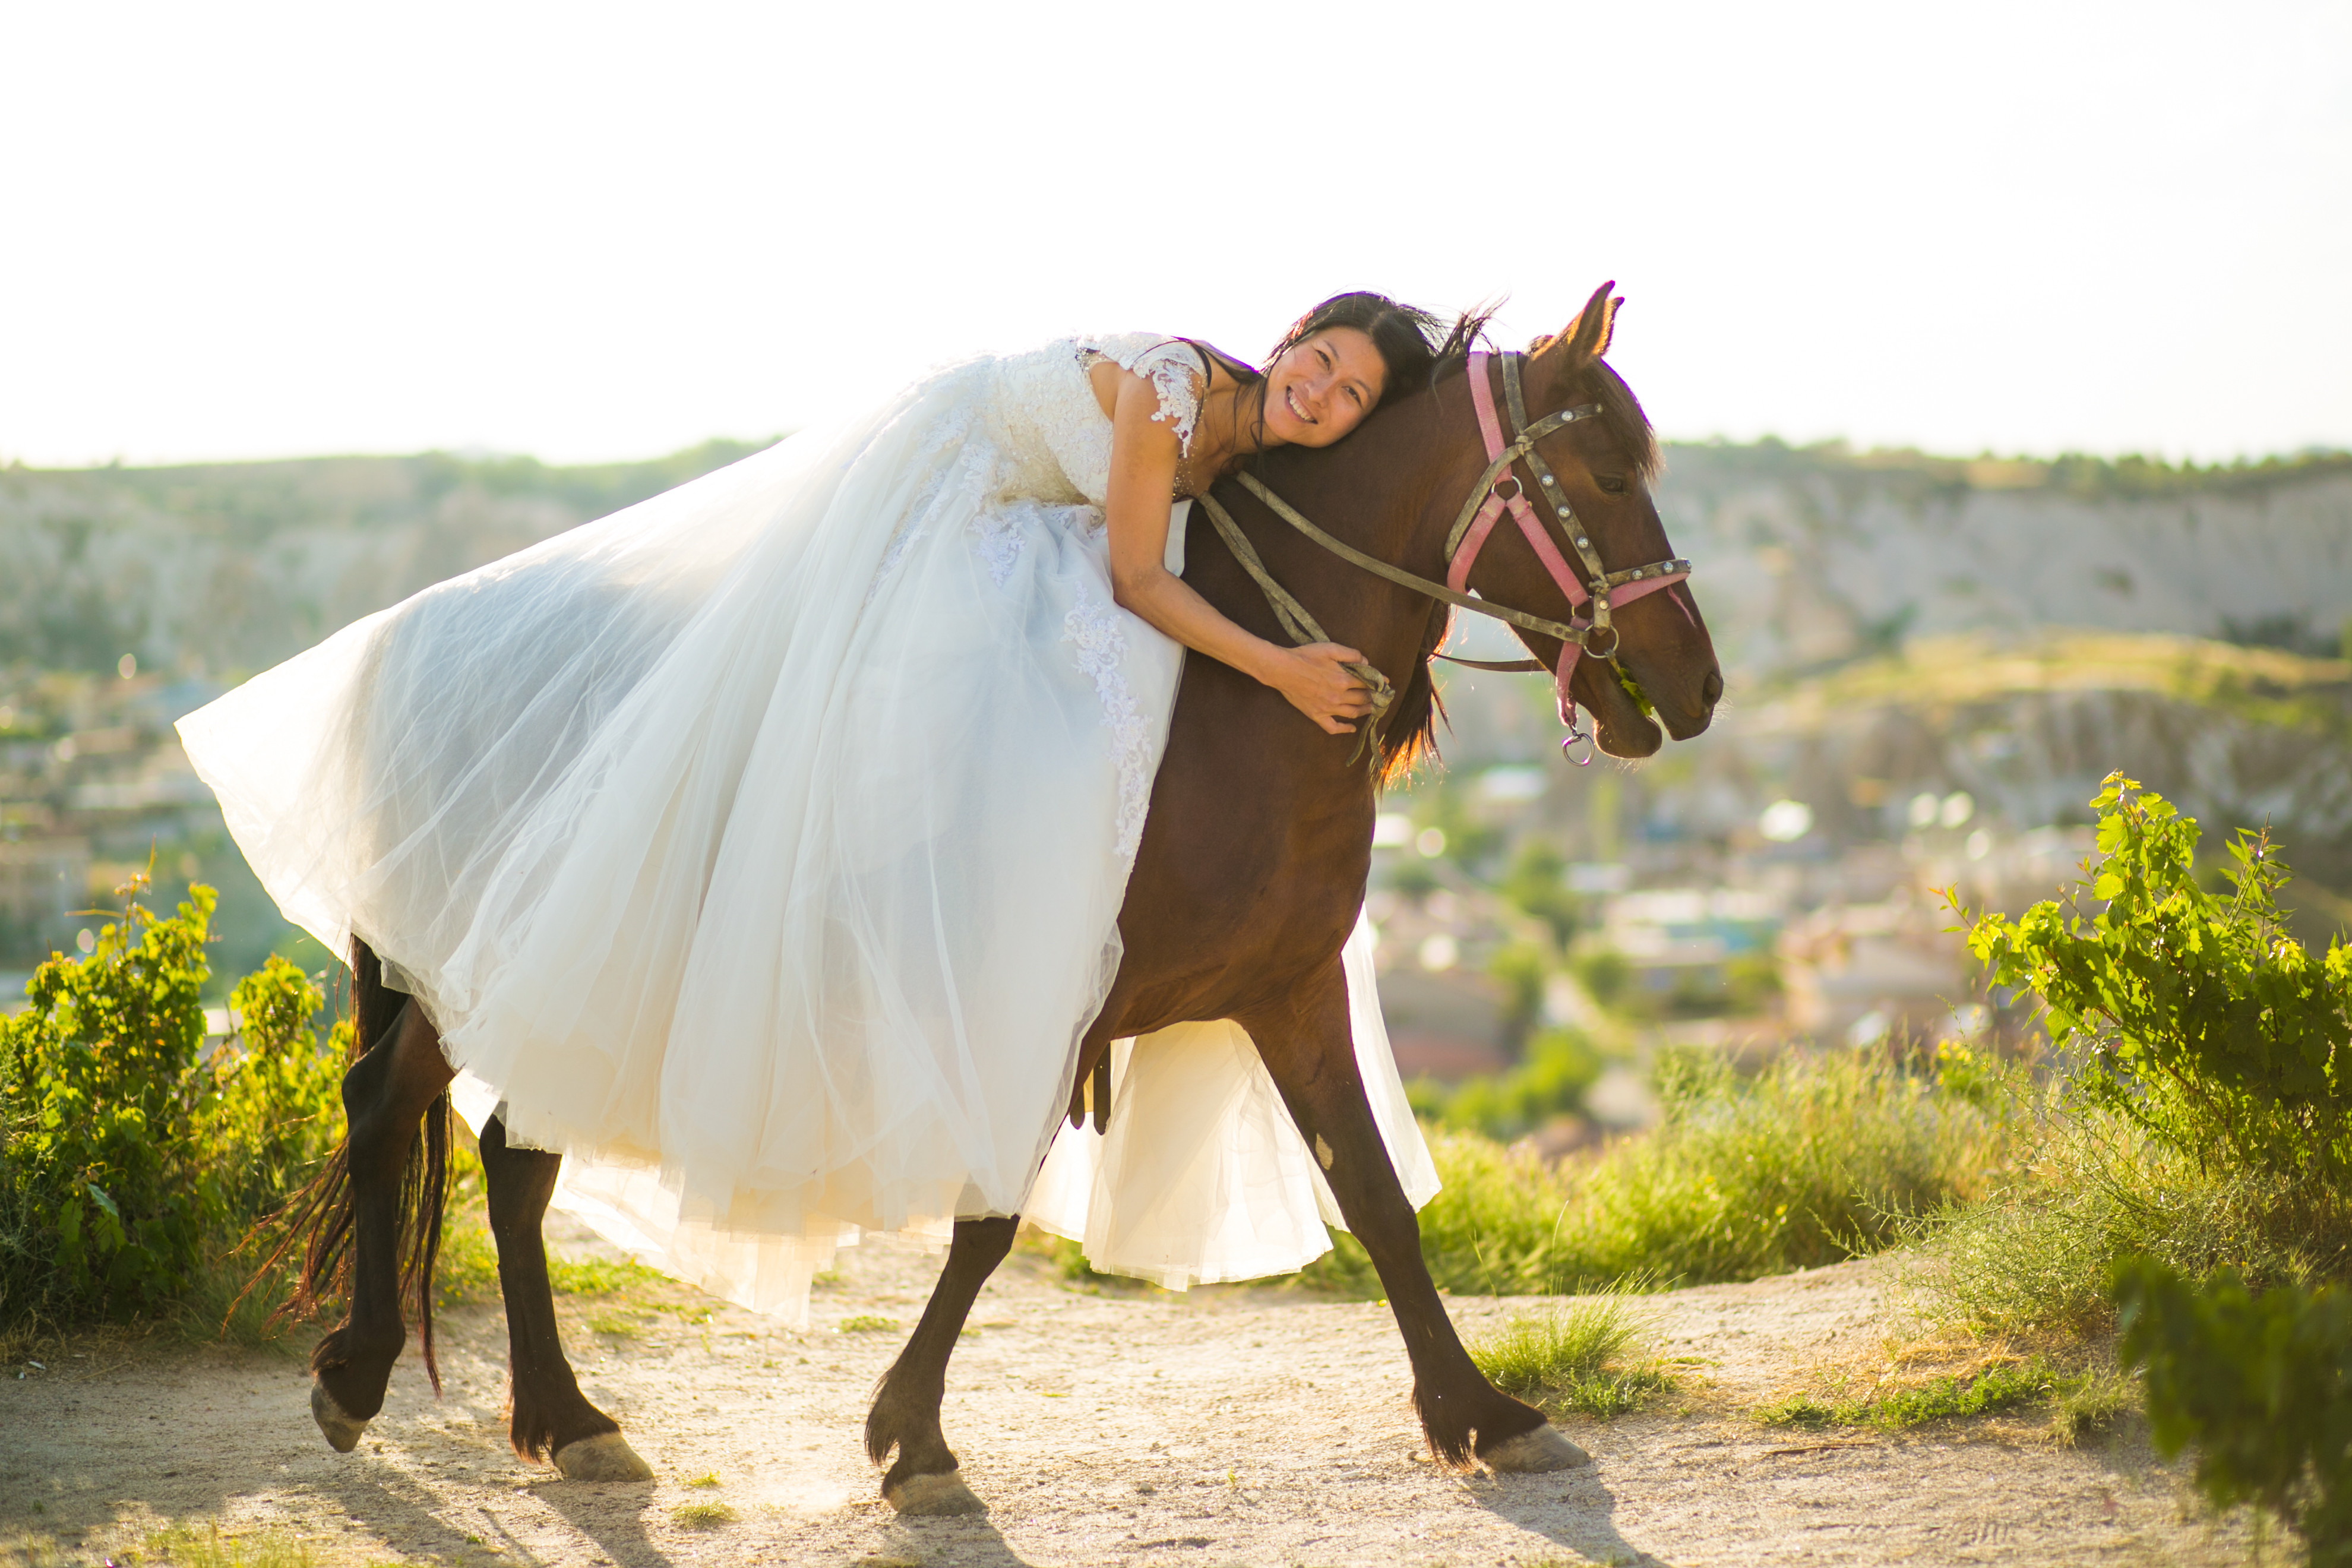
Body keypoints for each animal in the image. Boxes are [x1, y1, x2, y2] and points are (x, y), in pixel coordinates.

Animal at [273, 281, 1722, 1510]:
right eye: (1606, 474)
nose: (1698, 683)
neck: (1242, 689)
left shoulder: (1285, 988)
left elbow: (1372, 1195)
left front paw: (1476, 1412)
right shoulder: (1040, 994)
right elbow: (984, 1225)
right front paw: (909, 1436)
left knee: (506, 1156)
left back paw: (554, 1418)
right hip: (496, 958)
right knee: (401, 1106)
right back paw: (379, 1377)